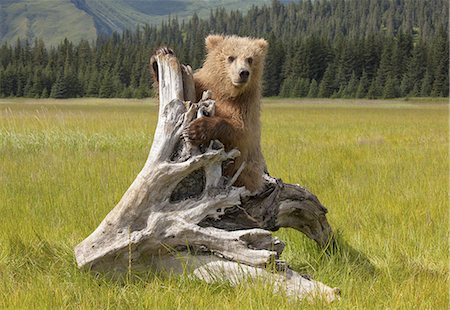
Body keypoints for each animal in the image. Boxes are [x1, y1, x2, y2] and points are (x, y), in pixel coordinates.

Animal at [153, 35, 268, 193]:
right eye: (231, 57)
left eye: (250, 59)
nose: (243, 73)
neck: (226, 92)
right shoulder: (202, 86)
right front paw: (162, 53)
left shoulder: (246, 105)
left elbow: (239, 129)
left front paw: (195, 129)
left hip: (248, 170)